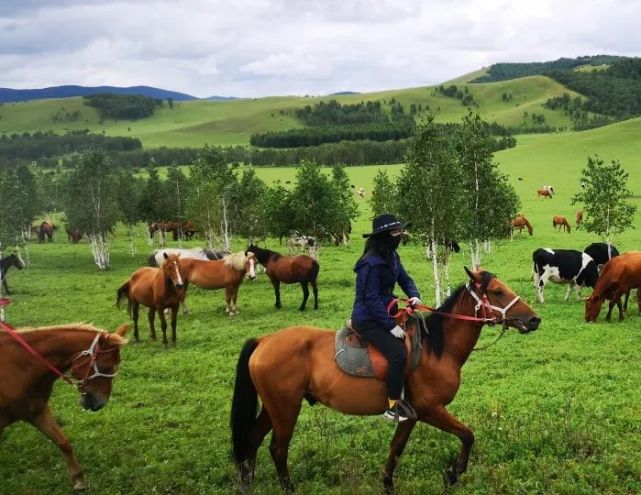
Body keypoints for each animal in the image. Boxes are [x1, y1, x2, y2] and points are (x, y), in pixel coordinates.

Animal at [0, 322, 129, 492]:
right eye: (105, 367)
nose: (101, 403)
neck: (19, 366)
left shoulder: (38, 412)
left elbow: (63, 442)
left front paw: (79, 479)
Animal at [230, 270, 540, 494]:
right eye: (498, 291)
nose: (534, 319)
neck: (436, 349)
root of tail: (264, 341)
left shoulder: (411, 414)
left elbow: (396, 447)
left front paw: (388, 482)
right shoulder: (430, 409)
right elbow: (467, 435)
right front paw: (453, 473)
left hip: (273, 408)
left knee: (252, 441)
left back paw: (247, 483)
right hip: (286, 409)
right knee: (277, 448)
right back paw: (287, 488)